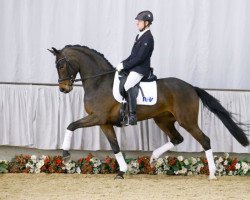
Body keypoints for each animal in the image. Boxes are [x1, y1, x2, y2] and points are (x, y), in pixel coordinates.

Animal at [47, 45, 249, 180]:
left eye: (61, 65)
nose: (63, 89)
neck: (99, 82)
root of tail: (191, 87)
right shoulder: (105, 123)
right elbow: (115, 146)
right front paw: (122, 171)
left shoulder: (97, 117)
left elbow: (71, 125)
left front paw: (65, 154)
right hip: (163, 120)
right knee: (177, 138)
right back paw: (153, 157)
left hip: (187, 121)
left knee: (205, 140)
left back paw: (212, 174)